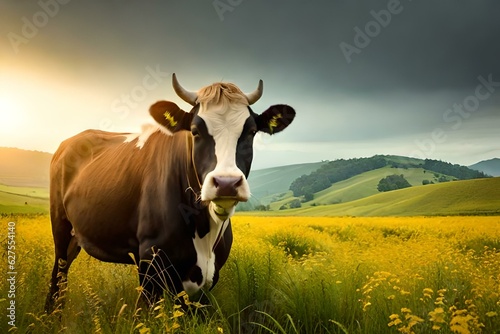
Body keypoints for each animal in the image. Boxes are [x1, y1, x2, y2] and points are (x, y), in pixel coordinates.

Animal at [45, 73, 294, 314]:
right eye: (195, 131)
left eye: (251, 132)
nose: (226, 183)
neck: (204, 232)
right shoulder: (149, 263)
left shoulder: (209, 277)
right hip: (60, 226)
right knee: (58, 276)